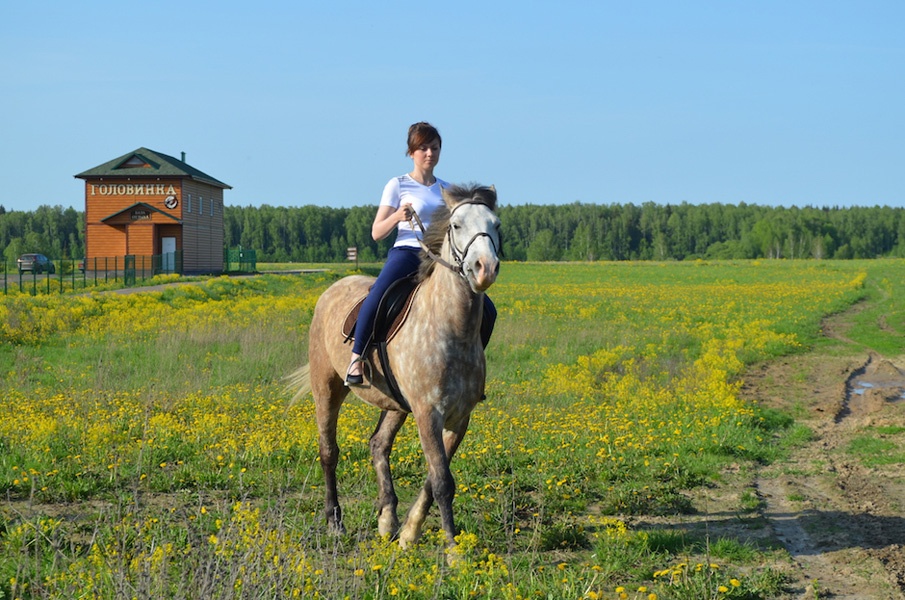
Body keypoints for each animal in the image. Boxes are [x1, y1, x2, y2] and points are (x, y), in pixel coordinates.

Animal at [288, 184, 502, 552]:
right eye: (456, 224)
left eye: (496, 224)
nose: (484, 267)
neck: (450, 327)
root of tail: (332, 288)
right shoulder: (428, 413)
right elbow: (442, 481)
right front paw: (453, 552)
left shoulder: (459, 418)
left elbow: (433, 478)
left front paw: (408, 533)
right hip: (327, 386)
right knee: (329, 451)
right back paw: (335, 522)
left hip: (395, 403)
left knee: (378, 444)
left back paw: (387, 520)